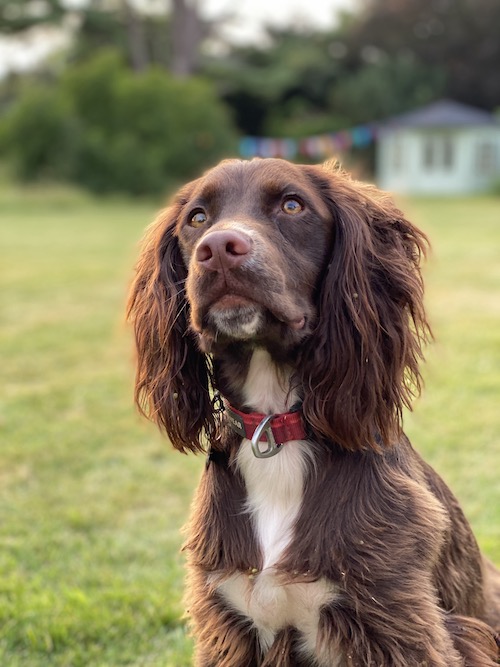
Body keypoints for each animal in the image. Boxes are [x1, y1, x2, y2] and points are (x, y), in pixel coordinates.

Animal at [128, 159, 500, 664]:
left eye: (292, 205)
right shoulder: (227, 623)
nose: (219, 249)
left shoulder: (399, 620)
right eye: (197, 218)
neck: (276, 430)